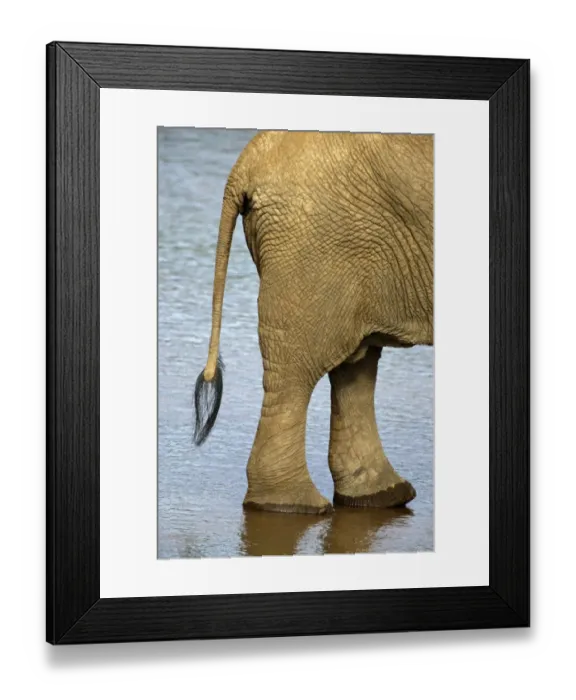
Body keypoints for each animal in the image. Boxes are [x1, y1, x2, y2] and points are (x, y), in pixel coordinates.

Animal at [194, 130, 433, 515]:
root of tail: (244, 163)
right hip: (314, 244)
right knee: (300, 368)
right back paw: (295, 506)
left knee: (356, 363)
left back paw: (382, 496)